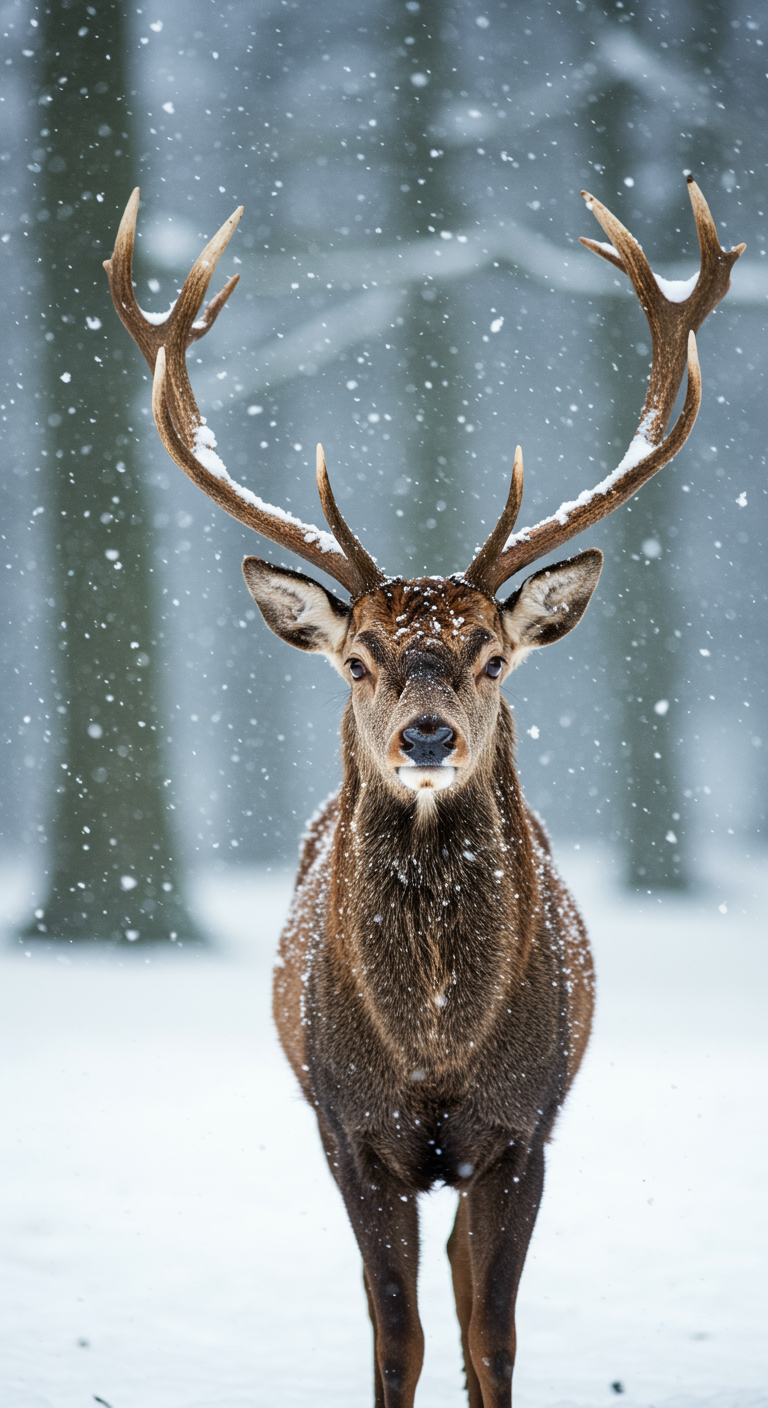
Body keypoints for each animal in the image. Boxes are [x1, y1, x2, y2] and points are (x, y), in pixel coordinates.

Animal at [104, 179, 743, 1408]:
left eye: (493, 655)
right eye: (358, 658)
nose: (429, 732)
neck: (436, 1050)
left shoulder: (523, 1126)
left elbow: (491, 1336)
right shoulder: (350, 1127)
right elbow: (394, 1335)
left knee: (460, 1277)